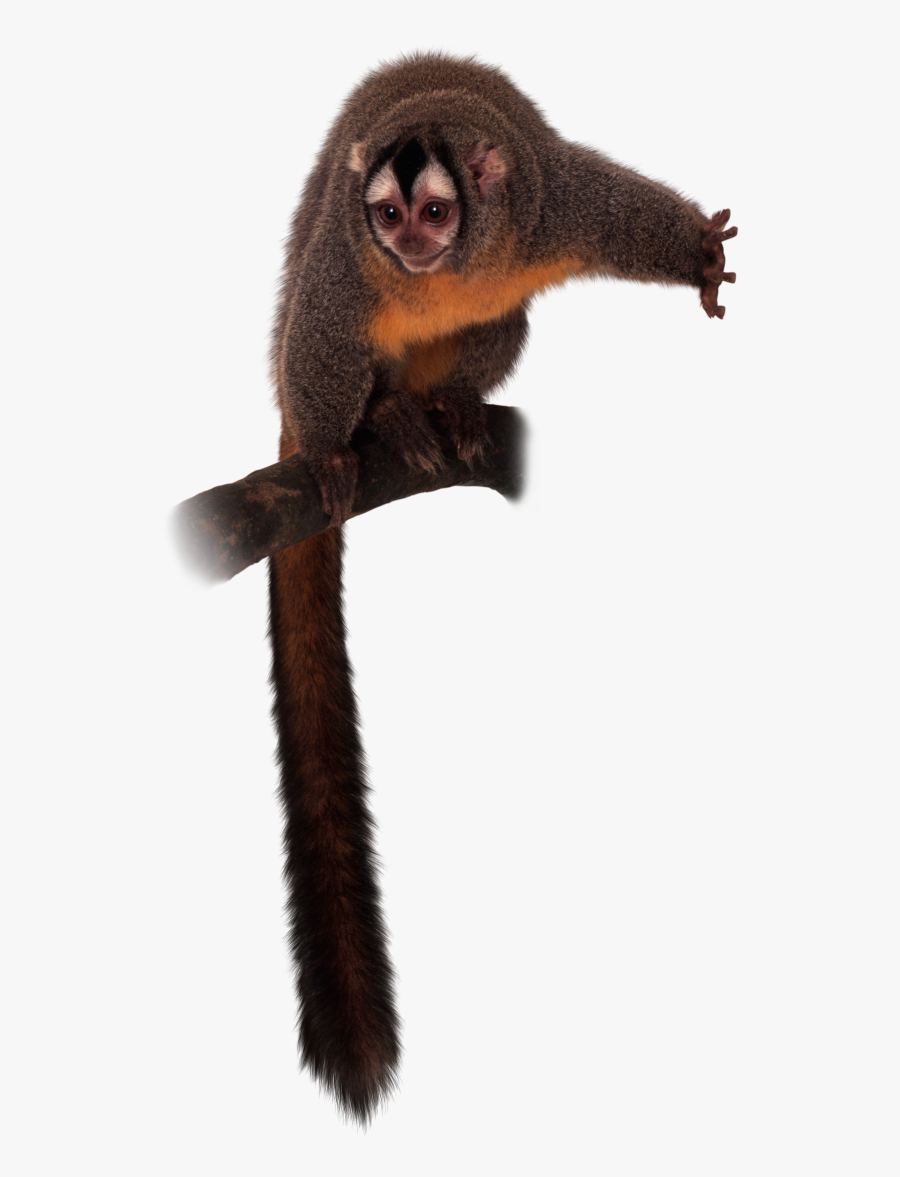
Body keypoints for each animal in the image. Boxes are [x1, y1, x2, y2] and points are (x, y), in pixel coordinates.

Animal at [268, 52, 736, 1123]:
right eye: (388, 215)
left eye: (436, 212)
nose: (408, 245)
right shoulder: (344, 260)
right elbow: (322, 333)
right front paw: (333, 456)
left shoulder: (547, 205)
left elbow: (623, 216)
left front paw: (696, 251)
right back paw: (387, 422)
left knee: (499, 324)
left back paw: (446, 406)